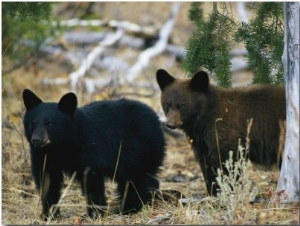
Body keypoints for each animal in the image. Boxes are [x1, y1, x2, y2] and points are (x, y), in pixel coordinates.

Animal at [22, 89, 165, 220]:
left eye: (50, 123)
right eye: (33, 123)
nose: (37, 140)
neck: (60, 146)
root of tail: (156, 118)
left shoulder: (89, 150)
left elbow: (92, 181)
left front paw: (96, 213)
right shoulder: (43, 156)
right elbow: (47, 181)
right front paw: (49, 215)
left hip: (140, 149)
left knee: (138, 178)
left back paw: (131, 208)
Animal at [157, 69, 286, 196]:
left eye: (182, 105)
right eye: (167, 104)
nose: (170, 124)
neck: (205, 117)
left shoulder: (225, 132)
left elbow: (227, 159)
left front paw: (226, 189)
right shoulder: (201, 141)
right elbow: (206, 163)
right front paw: (213, 190)